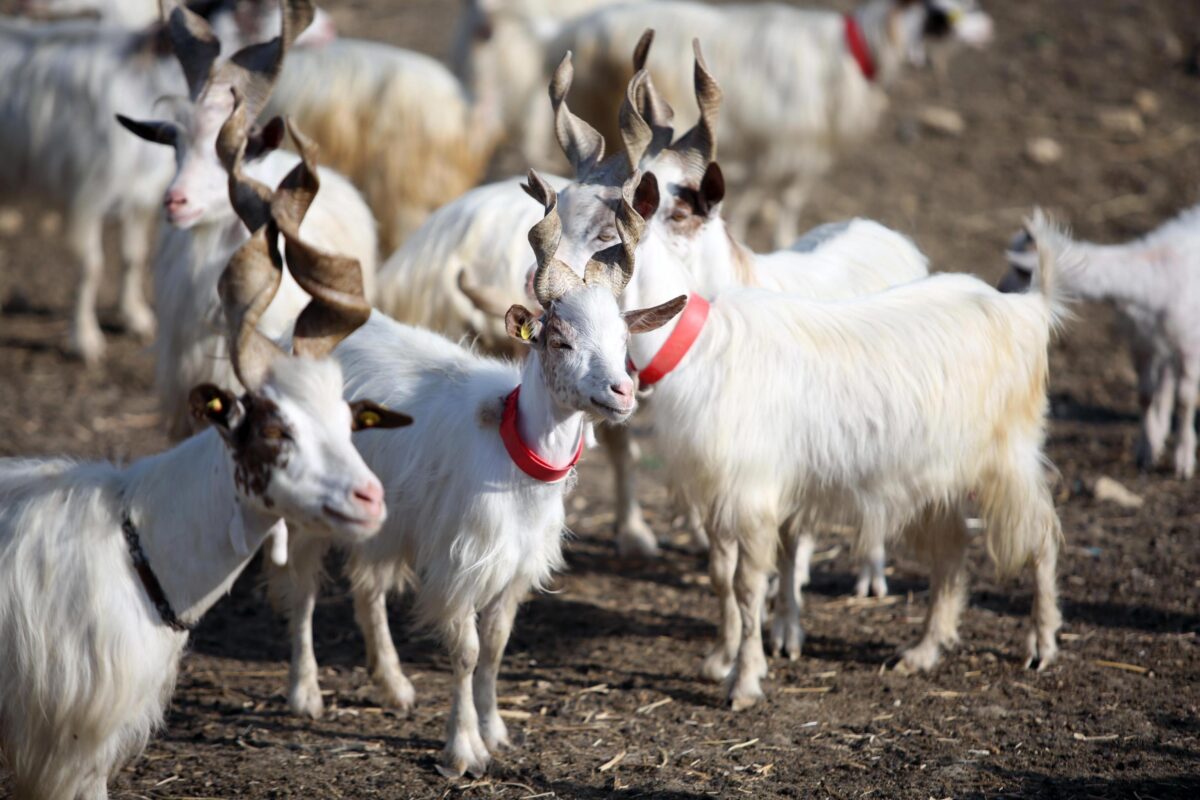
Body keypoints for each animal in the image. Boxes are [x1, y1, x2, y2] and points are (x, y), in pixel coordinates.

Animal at [273, 167, 686, 777]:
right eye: (559, 339)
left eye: (623, 340)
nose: (621, 392)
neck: (513, 458)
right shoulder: (459, 565)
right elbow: (466, 652)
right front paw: (463, 749)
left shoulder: (514, 568)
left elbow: (495, 646)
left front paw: (496, 731)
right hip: (308, 505)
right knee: (301, 590)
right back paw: (305, 693)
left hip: (377, 513)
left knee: (366, 586)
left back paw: (393, 685)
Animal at [998, 208, 1200, 482]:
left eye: (1021, 270)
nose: (1000, 288)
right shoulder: (1140, 341)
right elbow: (1144, 395)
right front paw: (1145, 451)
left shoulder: (1189, 343)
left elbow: (1186, 400)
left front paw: (1183, 460)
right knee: (1166, 378)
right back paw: (1159, 432)